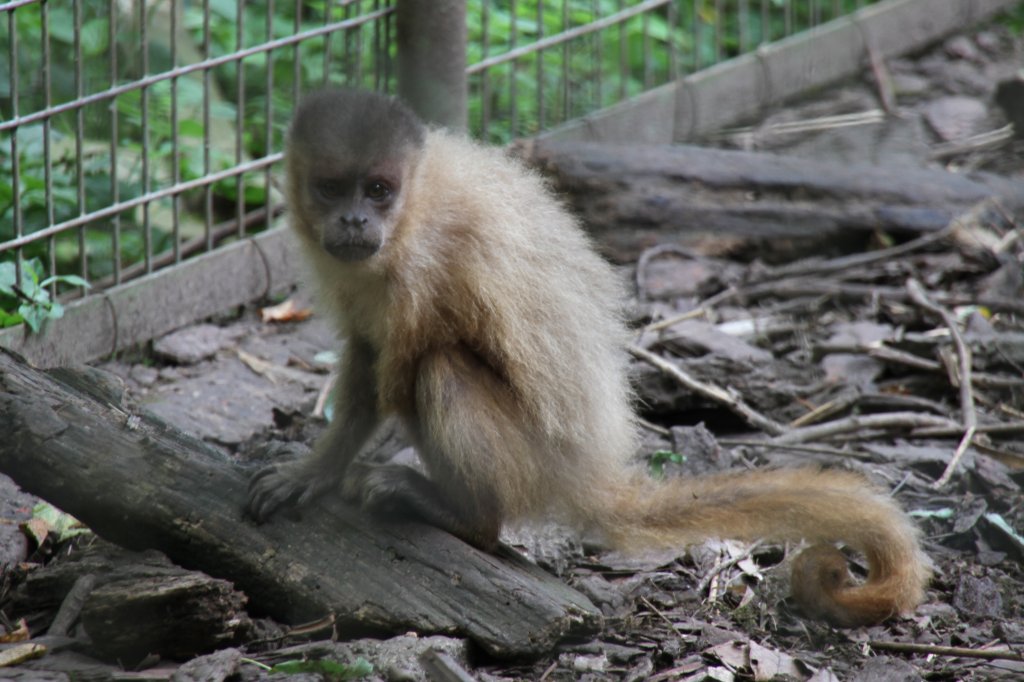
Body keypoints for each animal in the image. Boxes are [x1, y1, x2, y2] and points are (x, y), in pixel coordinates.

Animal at [247, 87, 929, 622]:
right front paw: (315, 470)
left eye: (379, 190)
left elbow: (393, 378)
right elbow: (365, 356)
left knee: (437, 368)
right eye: (331, 189)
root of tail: (586, 474)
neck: (410, 216)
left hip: (525, 463)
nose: (356, 220)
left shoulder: (424, 264)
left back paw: (464, 517)